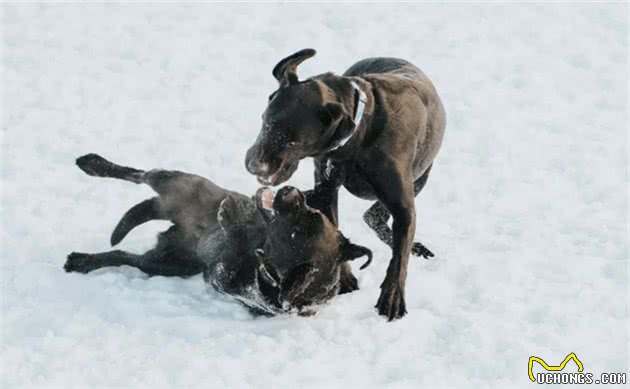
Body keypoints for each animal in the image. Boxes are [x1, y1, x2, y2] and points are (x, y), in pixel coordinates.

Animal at [65, 153, 370, 314]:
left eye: (296, 231)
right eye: (315, 213)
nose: (291, 191)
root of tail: (171, 213)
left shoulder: (218, 275)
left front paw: (230, 218)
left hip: (162, 263)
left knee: (121, 254)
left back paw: (82, 260)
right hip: (178, 180)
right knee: (137, 173)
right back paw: (92, 163)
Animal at [244, 48, 446, 318]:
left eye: (294, 142)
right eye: (265, 122)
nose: (253, 166)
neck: (360, 138)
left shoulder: (403, 205)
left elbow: (399, 257)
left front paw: (392, 296)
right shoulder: (326, 190)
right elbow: (334, 228)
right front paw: (346, 277)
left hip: (421, 178)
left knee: (376, 217)